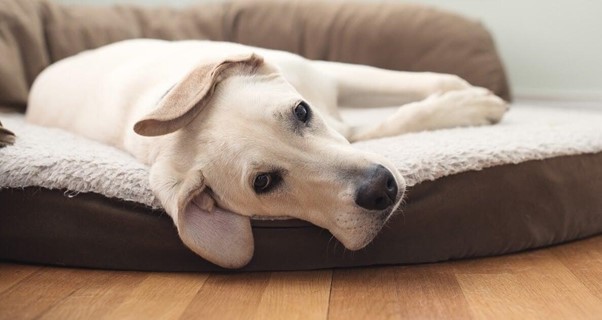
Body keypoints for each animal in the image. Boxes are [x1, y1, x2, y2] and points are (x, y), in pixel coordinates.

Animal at [24, 39, 506, 268]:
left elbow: (415, 82)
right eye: (264, 183)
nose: (381, 190)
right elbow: (394, 120)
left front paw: (468, 97)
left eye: (301, 111)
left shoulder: (329, 78)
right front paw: (466, 107)